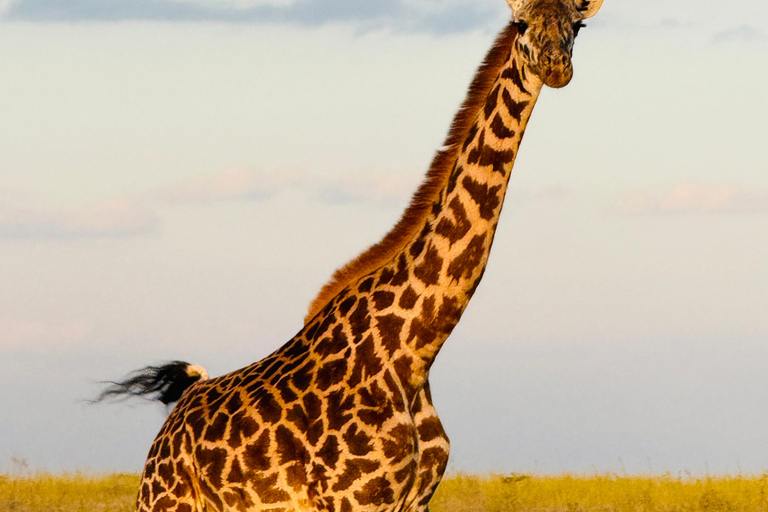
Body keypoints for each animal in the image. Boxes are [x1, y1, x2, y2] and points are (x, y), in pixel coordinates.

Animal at [105, 0, 604, 510]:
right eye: (521, 23)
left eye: (579, 25)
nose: (555, 67)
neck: (413, 354)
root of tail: (185, 399)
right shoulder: (355, 498)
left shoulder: (416, 499)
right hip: (164, 498)